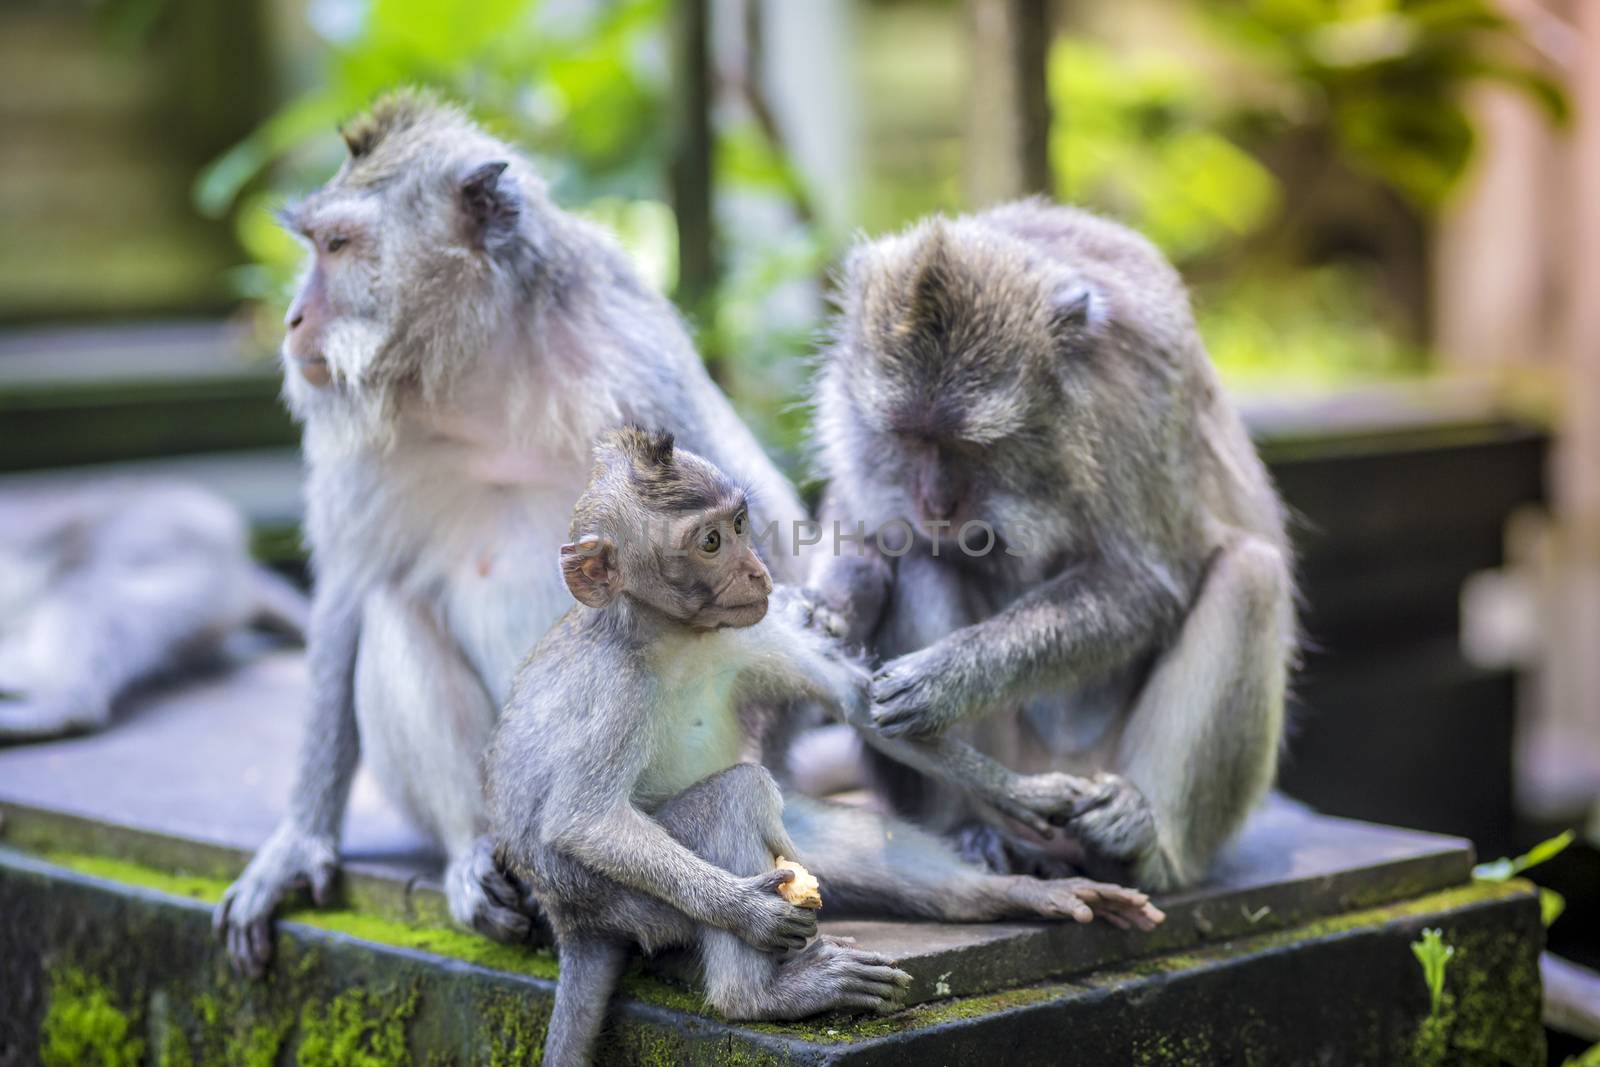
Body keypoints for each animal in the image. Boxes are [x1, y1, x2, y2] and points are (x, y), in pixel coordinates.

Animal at [212, 91, 812, 979]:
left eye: (339, 246)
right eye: (316, 244)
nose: (291, 318)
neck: (479, 368)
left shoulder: (630, 343)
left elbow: (772, 527)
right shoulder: (360, 438)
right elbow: (348, 591)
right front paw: (298, 841)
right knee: (390, 609)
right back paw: (474, 853)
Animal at [486, 425, 1164, 1067]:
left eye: (739, 525)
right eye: (710, 543)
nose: (758, 572)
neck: (679, 637)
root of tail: (570, 923)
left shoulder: (753, 629)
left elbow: (864, 708)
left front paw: (1034, 795)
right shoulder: (617, 689)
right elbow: (584, 822)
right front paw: (749, 912)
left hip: (783, 852)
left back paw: (1012, 893)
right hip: (619, 901)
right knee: (735, 796)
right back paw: (762, 997)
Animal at [812, 199, 1299, 895]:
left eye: (969, 446)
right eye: (907, 437)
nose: (934, 504)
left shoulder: (1138, 403)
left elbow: (1147, 583)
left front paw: (950, 676)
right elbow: (863, 526)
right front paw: (829, 605)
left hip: (1099, 774)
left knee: (1251, 575)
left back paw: (1144, 844)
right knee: (924, 561)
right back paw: (971, 828)